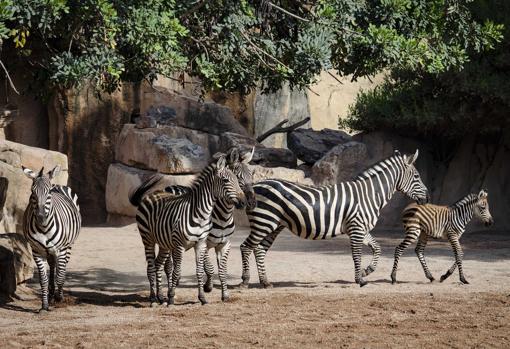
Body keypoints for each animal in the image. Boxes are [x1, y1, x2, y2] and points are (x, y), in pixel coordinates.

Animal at [22, 164, 81, 312]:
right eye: (32, 192)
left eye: (48, 193)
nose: (41, 217)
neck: (44, 228)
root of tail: (57, 184)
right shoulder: (37, 251)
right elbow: (43, 280)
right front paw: (44, 305)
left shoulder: (62, 248)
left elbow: (60, 275)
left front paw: (59, 298)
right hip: (49, 250)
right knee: (53, 265)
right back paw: (51, 291)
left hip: (68, 246)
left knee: (62, 269)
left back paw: (58, 293)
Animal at [128, 152, 246, 304]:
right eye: (225, 180)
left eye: (237, 179)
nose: (244, 202)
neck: (202, 213)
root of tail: (152, 194)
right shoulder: (180, 245)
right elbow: (178, 271)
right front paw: (172, 297)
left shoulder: (203, 244)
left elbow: (203, 271)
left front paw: (204, 298)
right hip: (147, 239)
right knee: (152, 267)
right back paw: (154, 298)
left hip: (164, 242)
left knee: (158, 264)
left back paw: (161, 297)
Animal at [164, 146, 255, 300]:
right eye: (238, 177)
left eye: (251, 175)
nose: (250, 202)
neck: (223, 217)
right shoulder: (205, 243)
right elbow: (210, 268)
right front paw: (208, 286)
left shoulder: (224, 243)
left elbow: (222, 270)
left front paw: (223, 294)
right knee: (169, 265)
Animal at [241, 148, 428, 286]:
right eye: (417, 176)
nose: (427, 198)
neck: (369, 194)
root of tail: (256, 185)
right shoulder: (356, 227)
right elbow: (356, 253)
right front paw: (359, 279)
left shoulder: (360, 227)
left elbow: (377, 248)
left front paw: (366, 271)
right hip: (264, 221)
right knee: (246, 247)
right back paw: (245, 281)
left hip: (274, 224)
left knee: (259, 250)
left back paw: (265, 282)